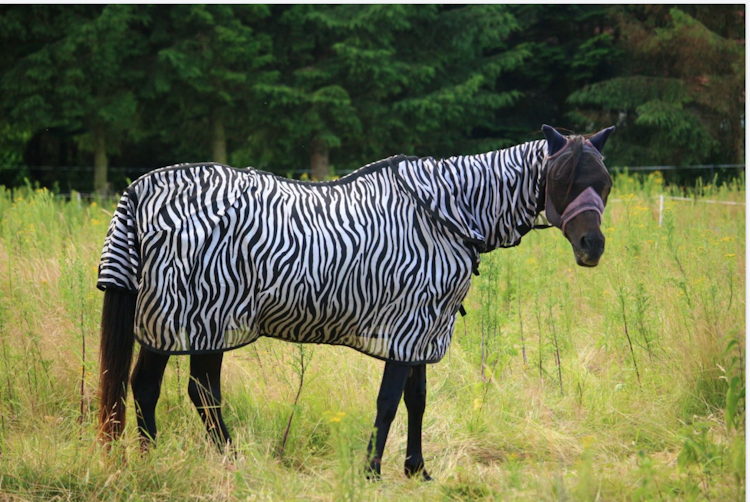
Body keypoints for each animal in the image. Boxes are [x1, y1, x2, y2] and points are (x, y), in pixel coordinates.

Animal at [97, 124, 614, 479]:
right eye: (562, 179)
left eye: (604, 182)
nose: (592, 246)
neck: (445, 213)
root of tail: (142, 188)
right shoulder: (405, 330)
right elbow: (388, 402)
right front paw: (372, 471)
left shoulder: (422, 331)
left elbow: (416, 400)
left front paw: (416, 470)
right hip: (188, 318)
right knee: (163, 387)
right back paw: (171, 460)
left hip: (202, 323)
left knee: (187, 390)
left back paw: (208, 459)